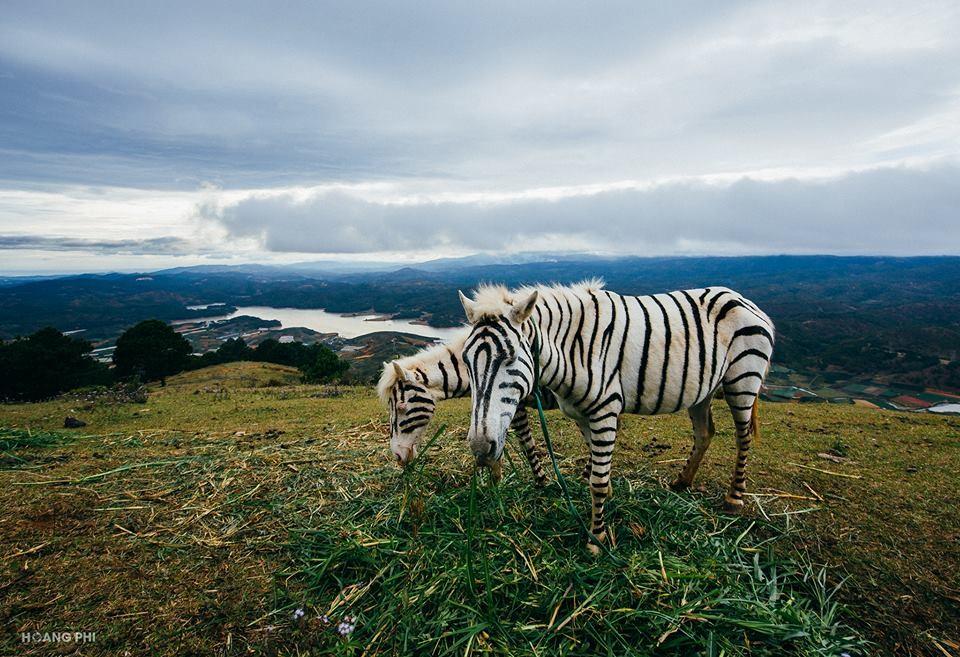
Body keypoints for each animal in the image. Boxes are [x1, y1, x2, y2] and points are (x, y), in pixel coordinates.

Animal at [380, 336, 548, 484]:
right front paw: (494, 486)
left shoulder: (511, 407)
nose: (397, 457)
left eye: (401, 406)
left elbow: (525, 443)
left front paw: (540, 482)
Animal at [456, 280, 772, 552]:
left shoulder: (606, 409)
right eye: (466, 361)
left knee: (743, 437)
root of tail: (739, 297)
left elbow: (596, 479)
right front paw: (608, 501)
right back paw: (682, 482)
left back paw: (734, 498)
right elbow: (597, 465)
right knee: (705, 432)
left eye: (509, 359)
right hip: (702, 390)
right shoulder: (583, 414)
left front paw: (596, 539)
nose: (480, 449)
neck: (573, 349)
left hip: (743, 378)